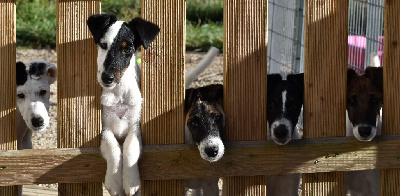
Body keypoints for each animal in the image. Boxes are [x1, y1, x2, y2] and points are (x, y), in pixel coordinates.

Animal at [87, 13, 159, 195]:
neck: (118, 94)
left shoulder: (135, 127)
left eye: (127, 49)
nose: (107, 78)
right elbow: (114, 149)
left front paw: (131, 181)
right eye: (103, 45)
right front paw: (114, 181)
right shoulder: (104, 129)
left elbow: (129, 149)